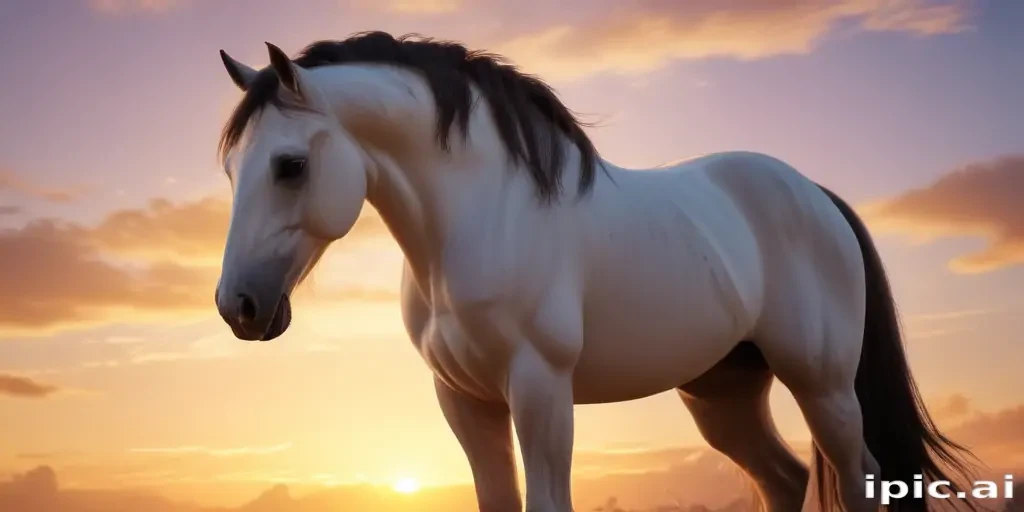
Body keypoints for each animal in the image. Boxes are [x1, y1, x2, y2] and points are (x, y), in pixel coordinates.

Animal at [211, 32, 976, 512]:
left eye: (290, 165)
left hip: (823, 385)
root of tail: (816, 194)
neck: (483, 214)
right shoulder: (463, 399)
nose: (238, 306)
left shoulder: (540, 389)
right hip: (723, 396)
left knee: (859, 478)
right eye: (230, 169)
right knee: (782, 481)